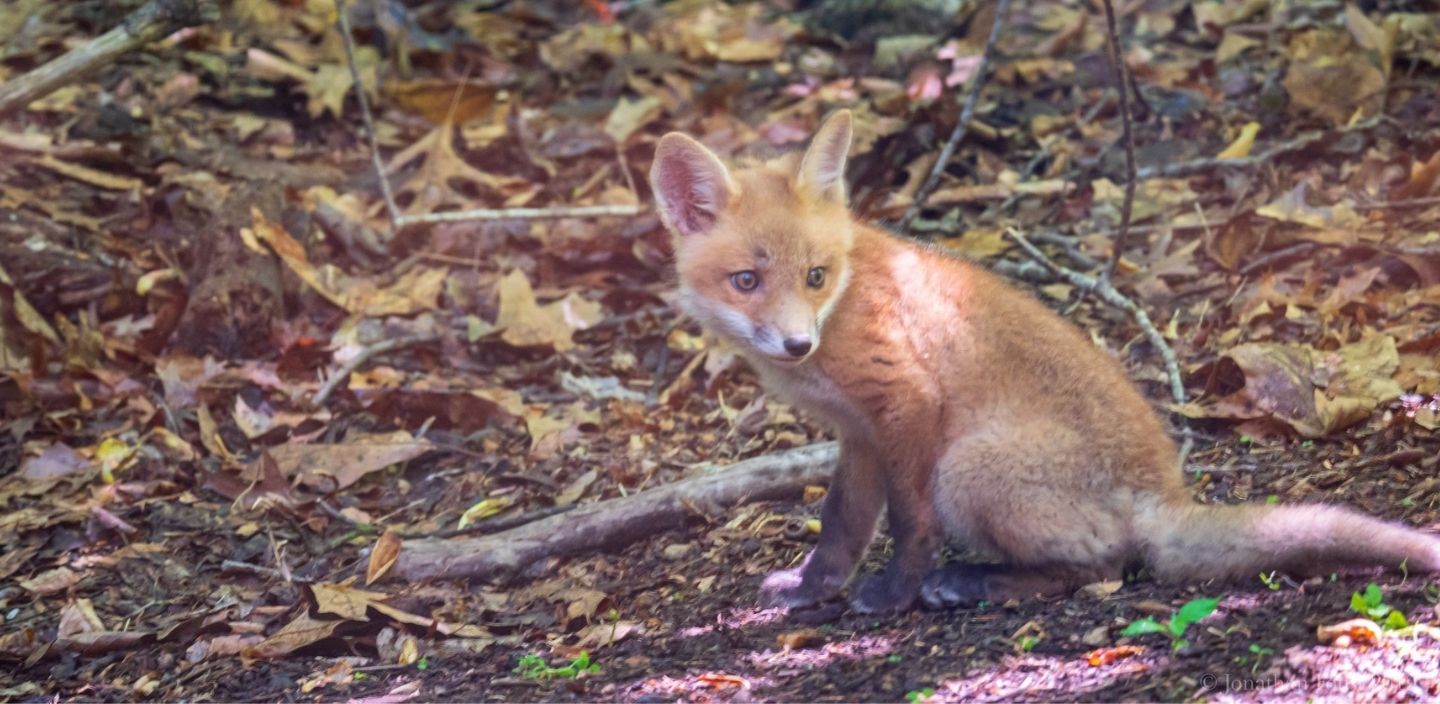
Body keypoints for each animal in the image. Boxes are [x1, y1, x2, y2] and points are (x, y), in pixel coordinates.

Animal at [650, 108, 1440, 610]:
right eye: (746, 281)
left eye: (815, 275)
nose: (797, 344)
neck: (844, 306)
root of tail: (1165, 492)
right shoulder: (860, 433)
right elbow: (841, 525)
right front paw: (814, 591)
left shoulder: (904, 403)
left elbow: (907, 524)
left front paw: (893, 595)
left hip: (968, 469)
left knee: (1104, 566)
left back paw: (976, 585)